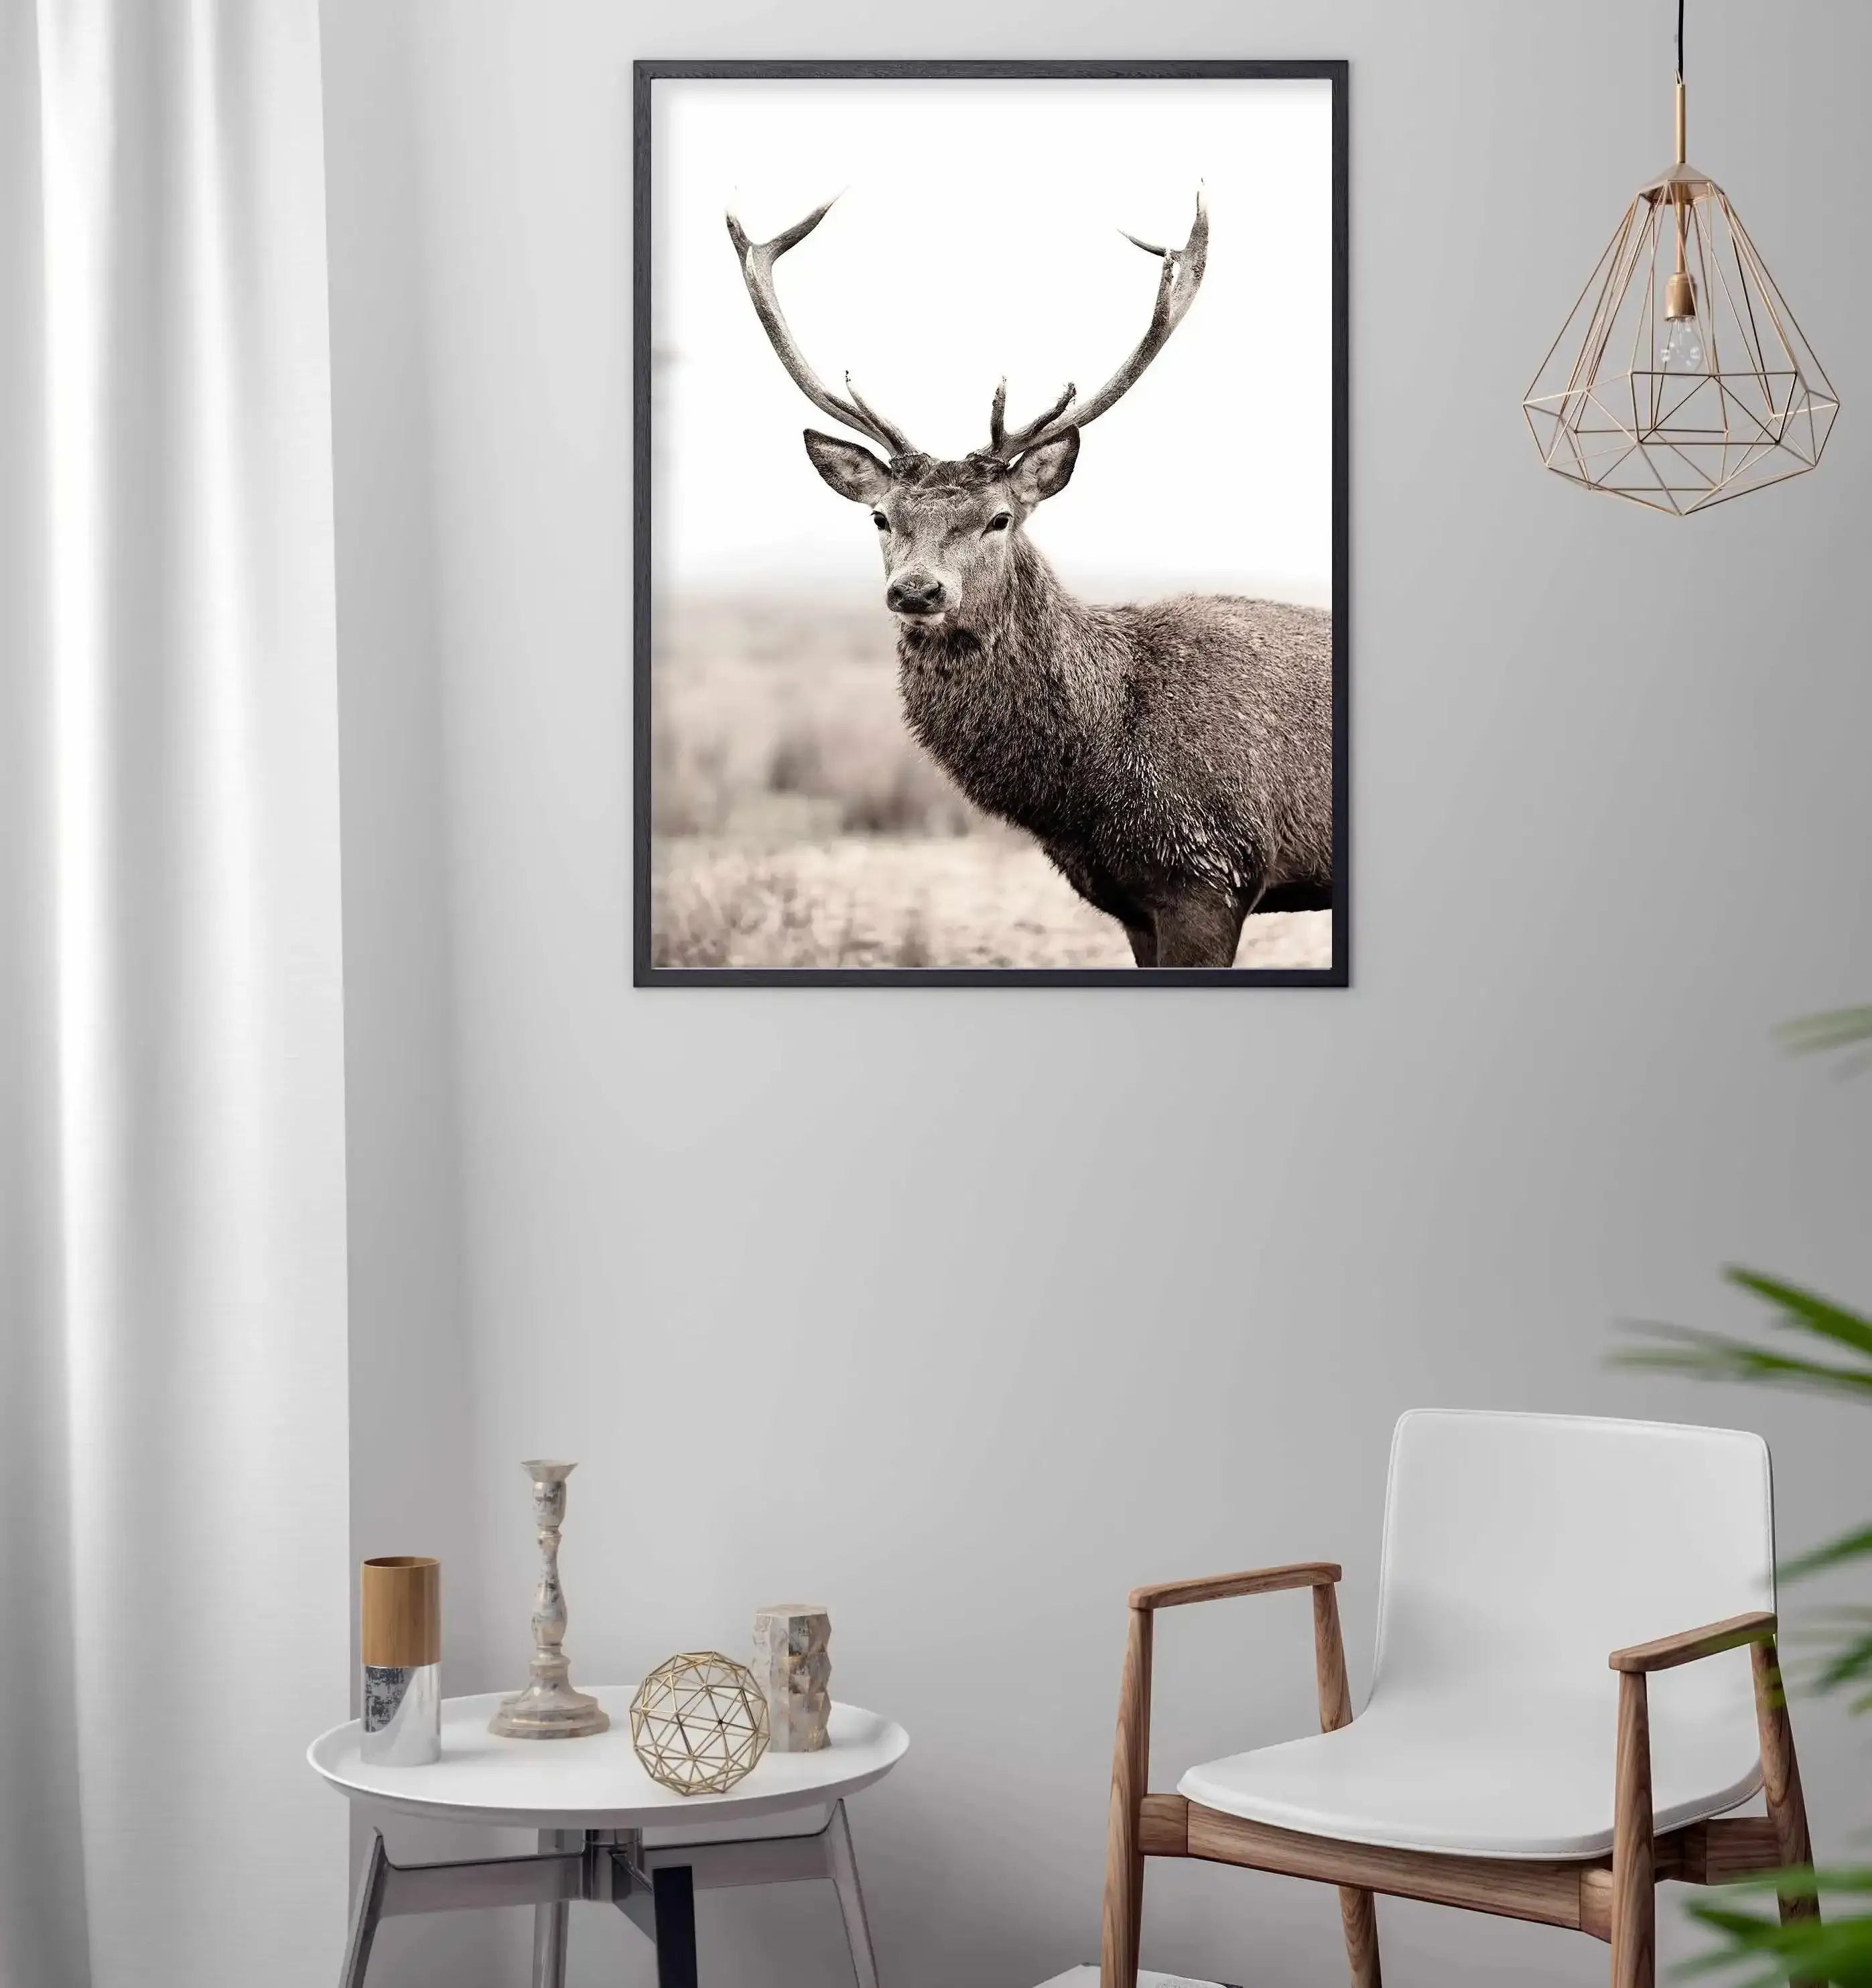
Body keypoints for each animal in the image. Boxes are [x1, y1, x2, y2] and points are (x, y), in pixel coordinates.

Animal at [723, 191, 1333, 969]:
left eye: (1000, 517)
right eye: (881, 517)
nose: (917, 590)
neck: (1090, 787)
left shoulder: (1211, 872)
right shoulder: (1130, 901)